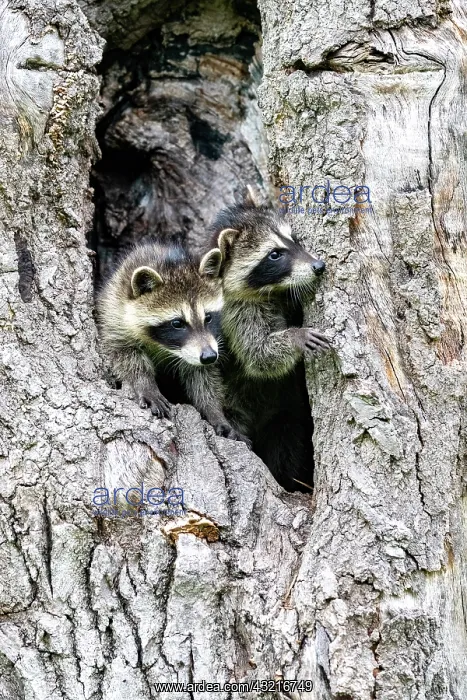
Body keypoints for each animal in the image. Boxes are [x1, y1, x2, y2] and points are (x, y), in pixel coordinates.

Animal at [97, 242, 244, 440]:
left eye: (208, 317)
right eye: (177, 323)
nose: (209, 356)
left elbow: (203, 377)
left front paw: (214, 411)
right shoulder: (115, 314)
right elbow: (126, 355)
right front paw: (146, 385)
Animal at [210, 193, 331, 491]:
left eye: (294, 239)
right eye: (274, 254)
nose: (318, 266)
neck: (271, 291)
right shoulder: (236, 314)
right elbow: (258, 355)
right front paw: (297, 336)